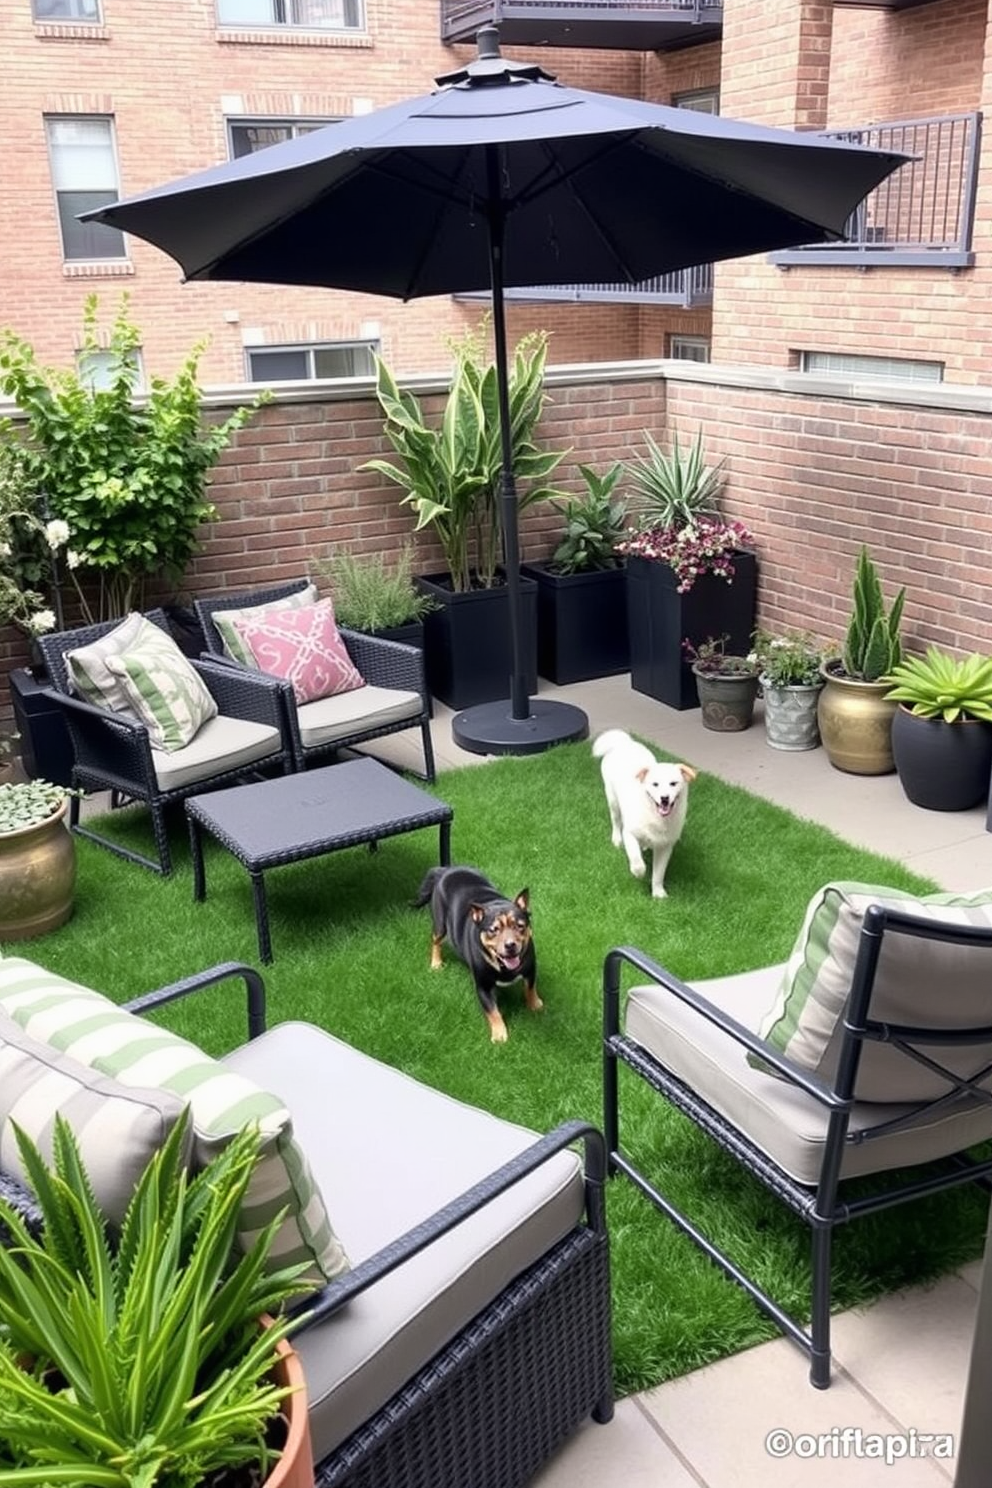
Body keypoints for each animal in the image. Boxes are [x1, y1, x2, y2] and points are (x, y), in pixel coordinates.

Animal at [416, 868, 544, 1041]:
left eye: (520, 926)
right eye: (493, 930)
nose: (510, 945)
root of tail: (445, 870)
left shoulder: (530, 969)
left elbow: (531, 988)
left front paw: (535, 1004)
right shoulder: (483, 986)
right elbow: (492, 1011)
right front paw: (499, 1034)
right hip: (440, 923)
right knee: (435, 941)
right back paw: (436, 963)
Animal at [588, 729, 699, 898]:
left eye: (673, 783)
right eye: (655, 784)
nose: (664, 798)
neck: (655, 816)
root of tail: (623, 743)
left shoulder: (665, 846)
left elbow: (659, 873)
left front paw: (658, 893)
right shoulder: (630, 833)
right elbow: (635, 858)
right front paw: (638, 872)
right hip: (613, 800)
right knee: (616, 821)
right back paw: (617, 839)